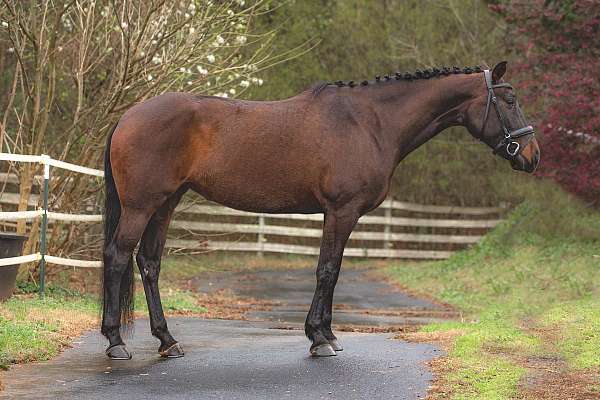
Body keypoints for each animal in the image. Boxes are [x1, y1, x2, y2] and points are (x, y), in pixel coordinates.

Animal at [101, 61, 540, 360]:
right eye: (510, 100)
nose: (532, 156)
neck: (371, 123)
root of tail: (128, 115)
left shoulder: (341, 215)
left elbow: (334, 270)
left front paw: (326, 334)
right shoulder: (341, 211)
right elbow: (327, 270)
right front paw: (318, 338)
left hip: (166, 204)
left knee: (149, 263)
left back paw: (167, 340)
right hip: (142, 206)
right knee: (118, 257)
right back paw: (116, 341)